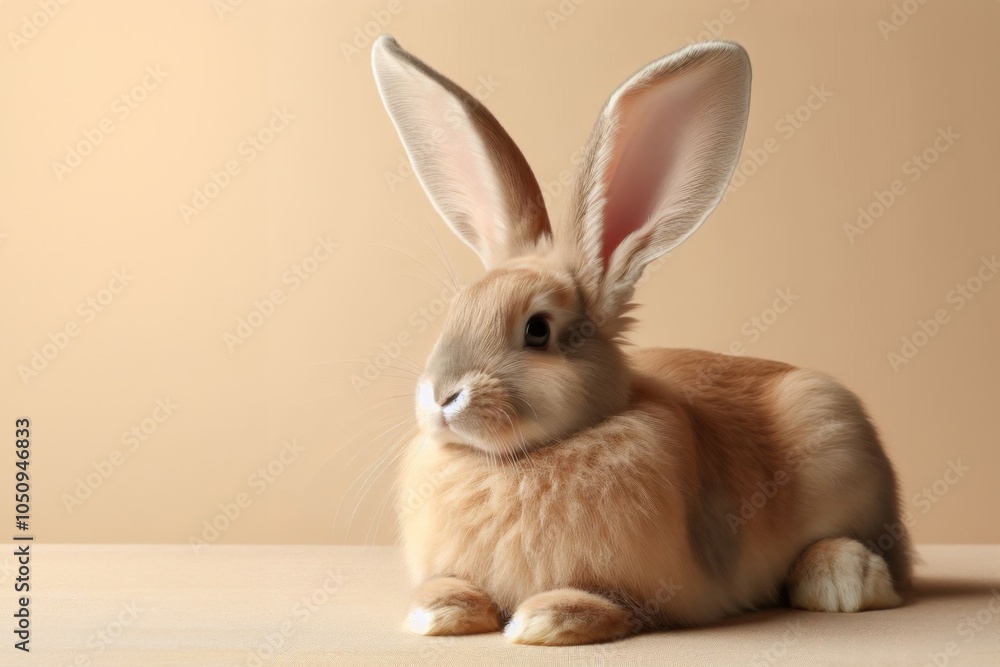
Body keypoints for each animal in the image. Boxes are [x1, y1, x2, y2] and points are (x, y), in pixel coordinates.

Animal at [371, 34, 912, 646]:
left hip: (838, 441)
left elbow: (609, 605)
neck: (517, 460)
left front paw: (546, 619)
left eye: (538, 330)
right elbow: (450, 588)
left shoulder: (646, 593)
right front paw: (436, 610)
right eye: (455, 311)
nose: (441, 396)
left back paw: (841, 579)